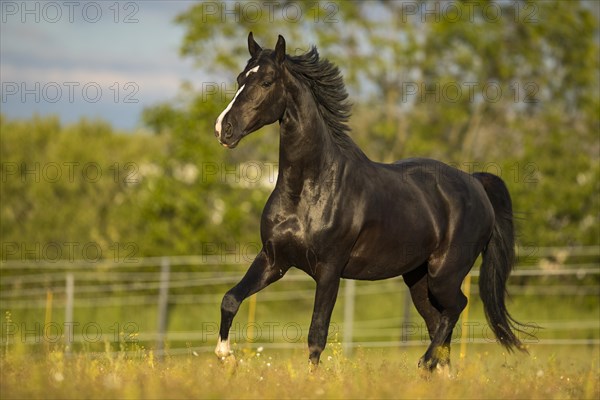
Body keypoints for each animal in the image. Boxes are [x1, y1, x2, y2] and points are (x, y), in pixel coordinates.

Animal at [211, 32, 524, 370]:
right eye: (241, 78)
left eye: (267, 82)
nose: (223, 129)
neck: (308, 190)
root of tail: (475, 182)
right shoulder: (274, 260)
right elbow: (230, 299)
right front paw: (225, 356)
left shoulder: (329, 270)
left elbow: (316, 336)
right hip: (419, 280)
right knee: (439, 326)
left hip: (445, 274)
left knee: (456, 309)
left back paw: (423, 364)